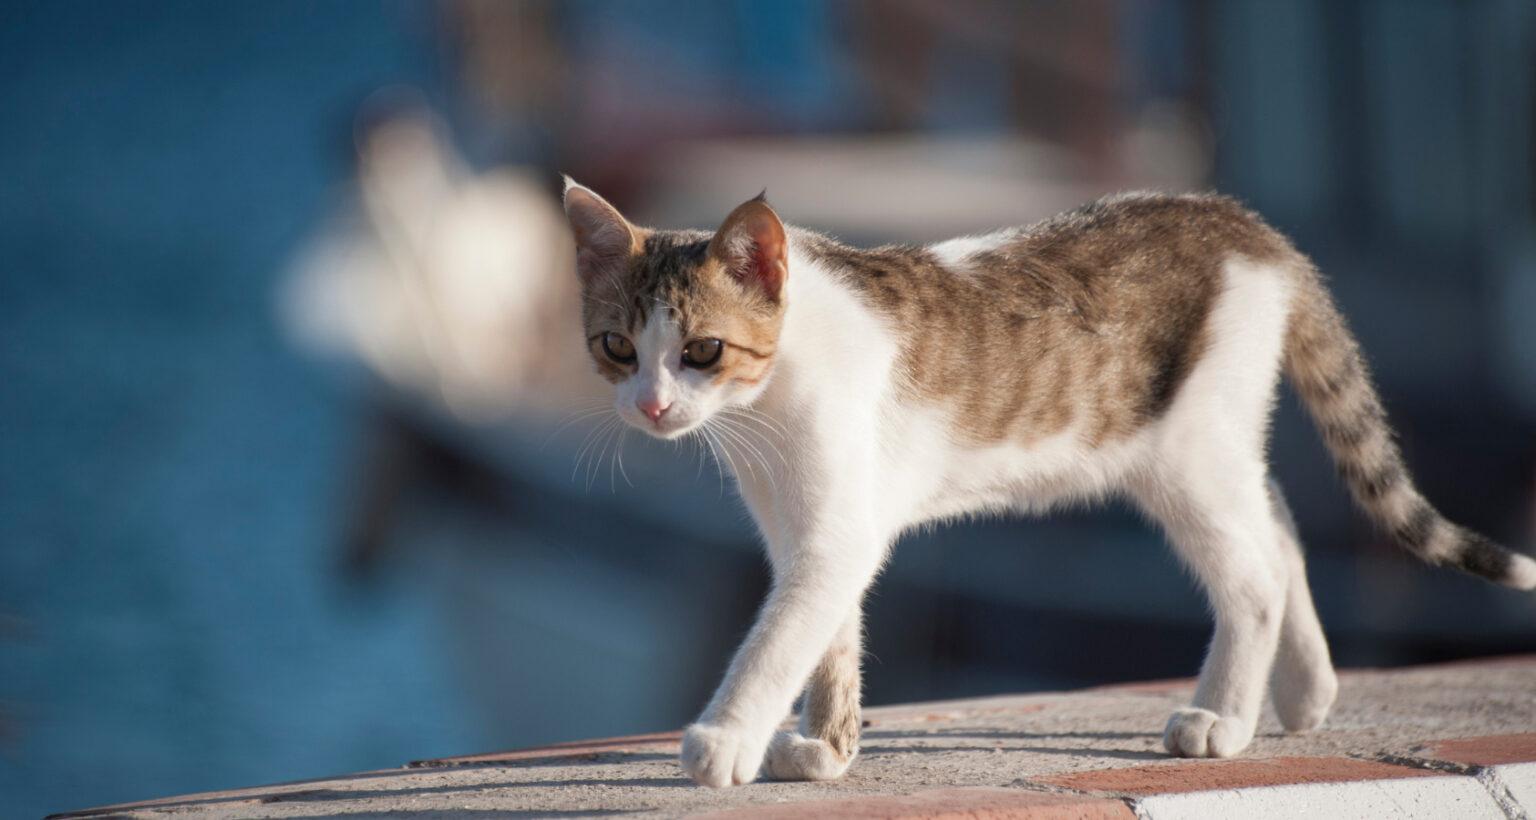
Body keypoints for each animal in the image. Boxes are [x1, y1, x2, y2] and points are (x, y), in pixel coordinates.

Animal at [562, 178, 1536, 792]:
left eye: (702, 350)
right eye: (616, 348)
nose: (651, 406)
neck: (765, 408)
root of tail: (1239, 221)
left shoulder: (837, 533)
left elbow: (778, 639)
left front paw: (725, 740)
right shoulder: (807, 526)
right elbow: (829, 640)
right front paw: (826, 749)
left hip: (1185, 454)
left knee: (1255, 575)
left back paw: (1221, 720)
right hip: (1215, 445)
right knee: (1281, 529)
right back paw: (1302, 692)